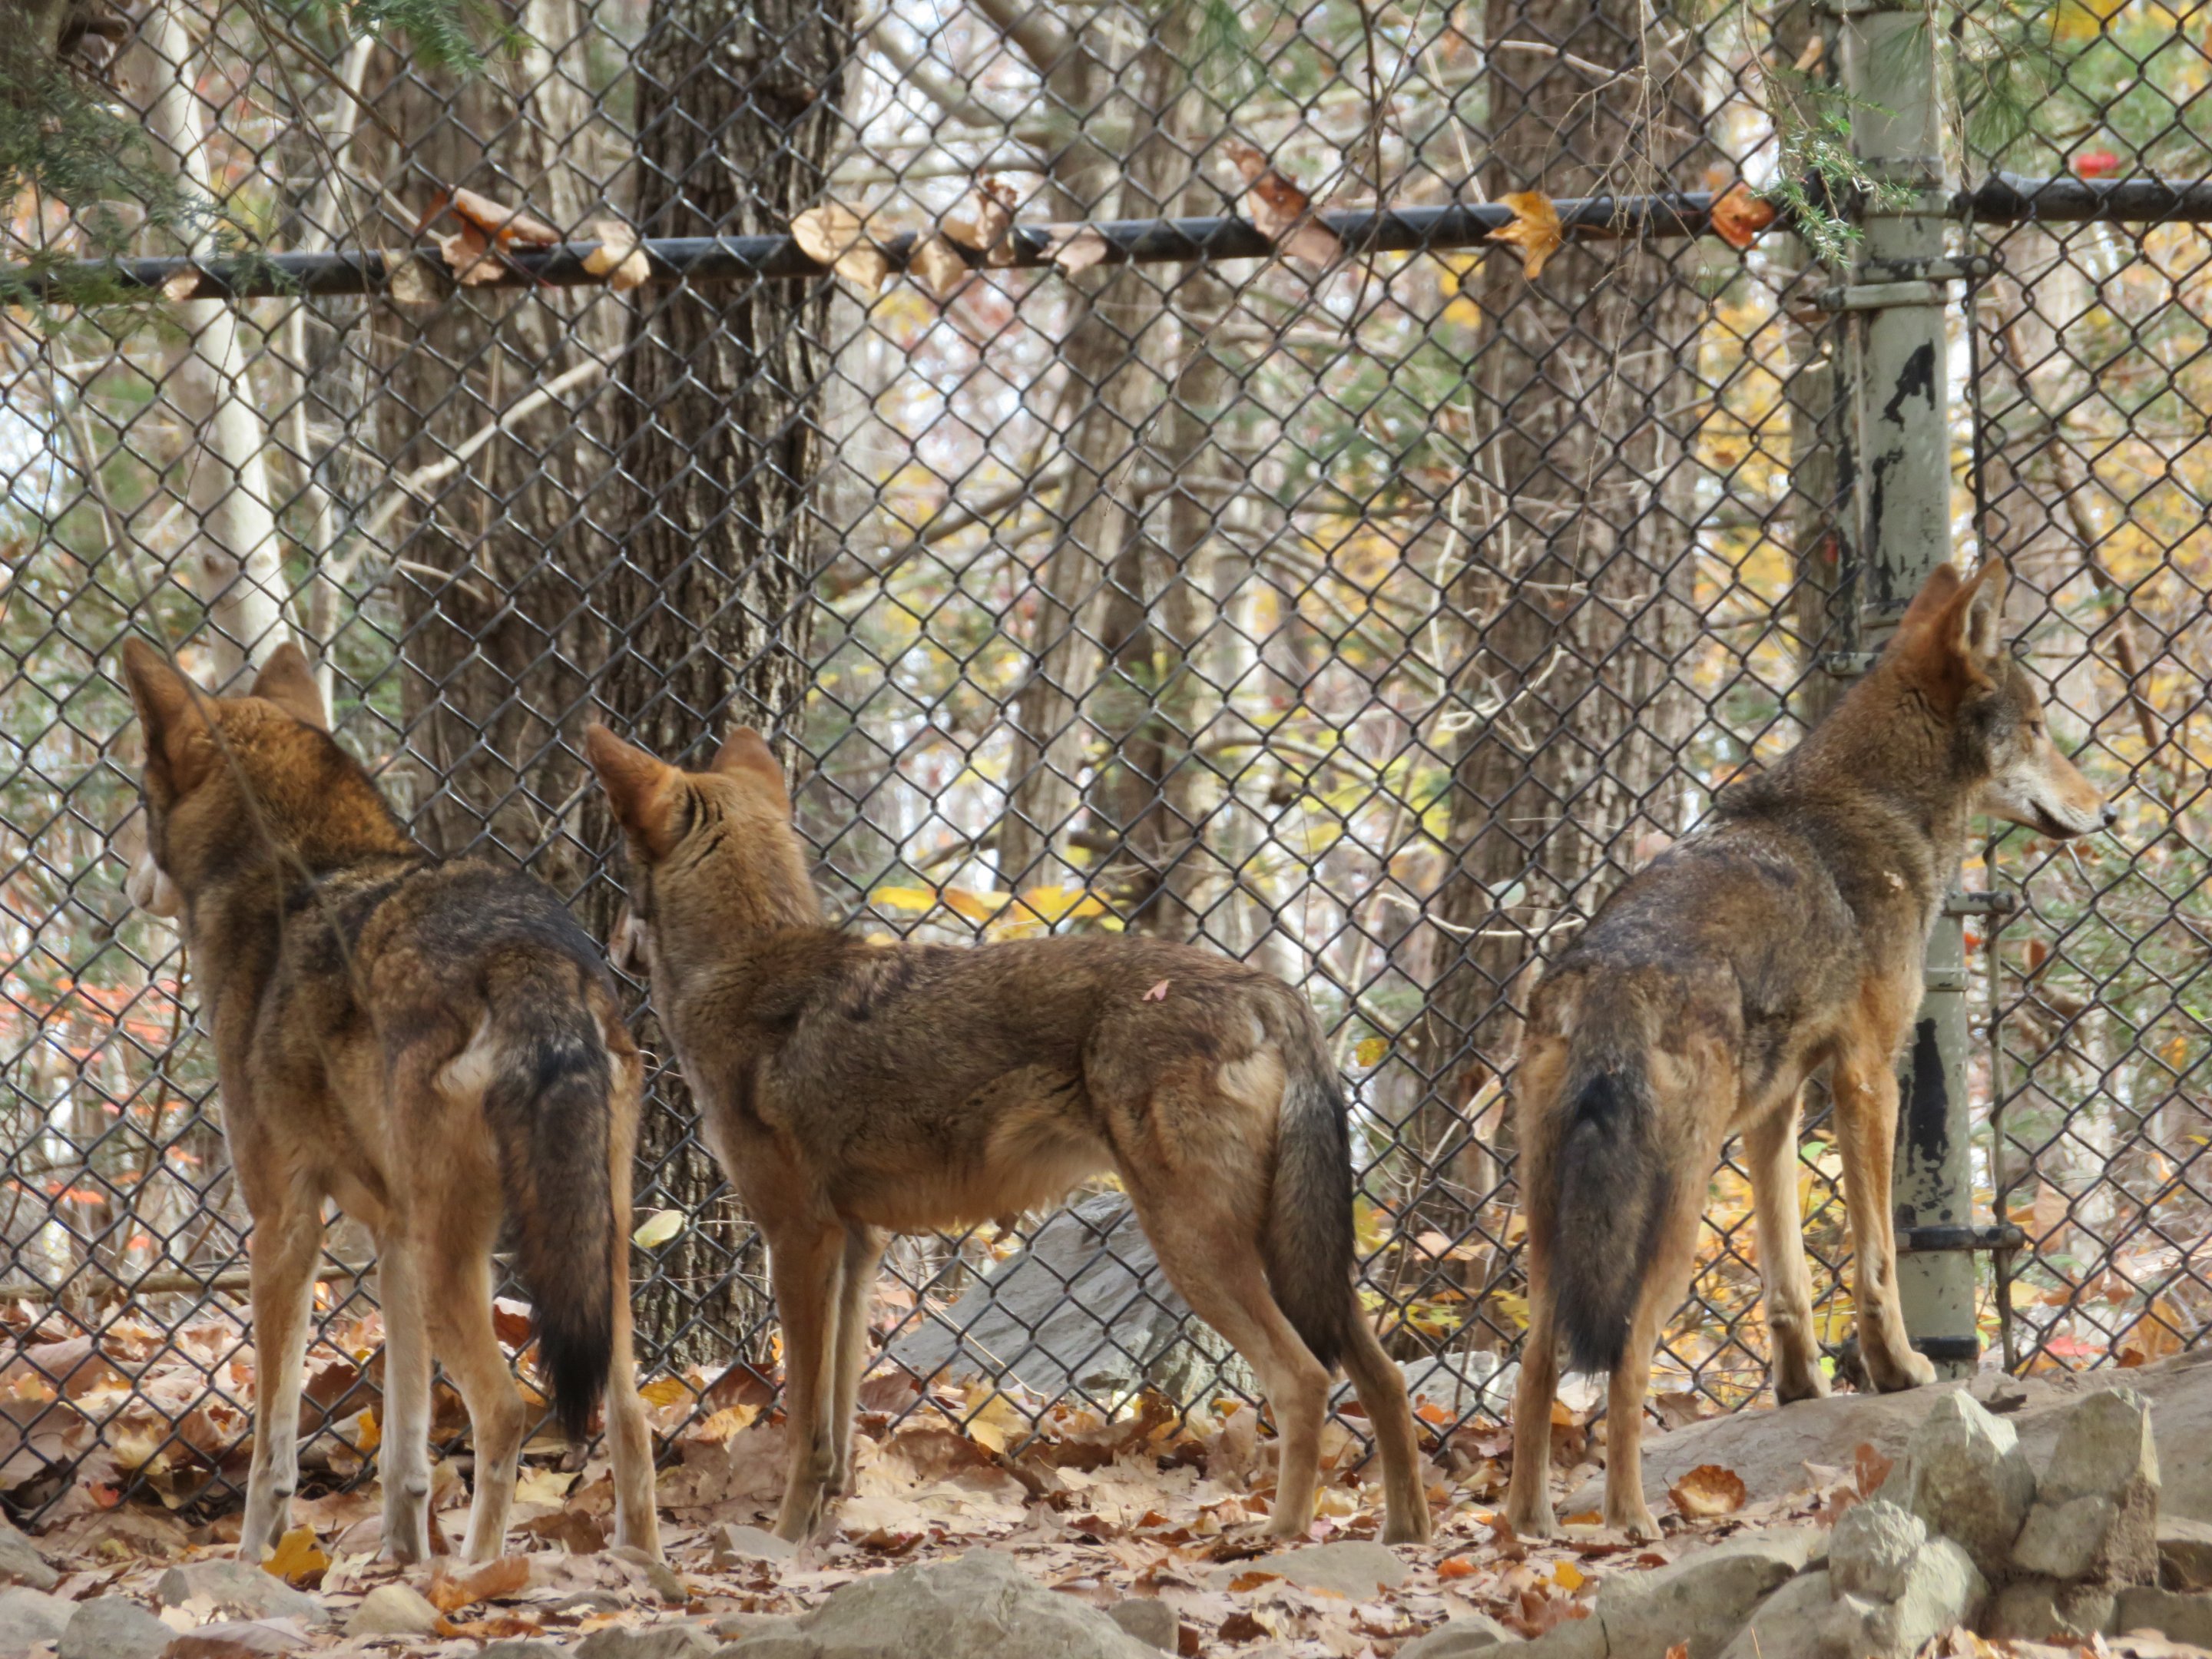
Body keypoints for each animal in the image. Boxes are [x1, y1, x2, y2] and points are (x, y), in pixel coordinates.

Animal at [120, 640, 660, 1563]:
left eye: (138, 795)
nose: (127, 873)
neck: (298, 871)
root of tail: (527, 955)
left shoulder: (284, 1228)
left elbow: (270, 1451)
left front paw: (256, 1564)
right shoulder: (392, 1237)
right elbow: (404, 1448)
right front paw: (400, 1560)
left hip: (465, 1265)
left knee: (505, 1412)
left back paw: (477, 1578)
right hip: (594, 1254)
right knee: (626, 1416)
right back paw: (643, 1572)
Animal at [582, 722, 1434, 1546]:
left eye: (621, 879)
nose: (606, 947)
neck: (749, 970)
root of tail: (1270, 988)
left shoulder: (797, 1238)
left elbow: (803, 1431)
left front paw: (784, 1546)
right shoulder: (858, 1247)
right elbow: (840, 1428)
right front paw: (824, 1537)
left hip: (1197, 1247)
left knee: (1305, 1380)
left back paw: (1277, 1539)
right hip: (1289, 1255)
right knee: (1384, 1379)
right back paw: (1404, 1536)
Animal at [1501, 559, 2113, 1540]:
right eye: (2038, 728)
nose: (2109, 808)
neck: (1875, 808)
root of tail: (1610, 982)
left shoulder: (1779, 1108)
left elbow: (1785, 1279)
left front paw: (1801, 1390)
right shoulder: (1871, 1077)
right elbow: (1880, 1259)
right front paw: (1901, 1371)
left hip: (1558, 1227)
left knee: (1534, 1362)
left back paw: (1532, 1528)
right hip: (1668, 1218)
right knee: (1626, 1359)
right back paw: (1633, 1524)